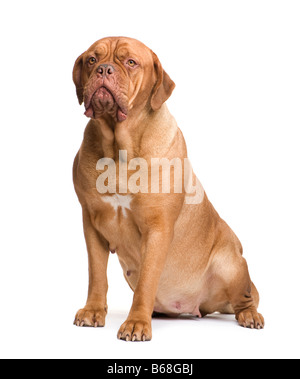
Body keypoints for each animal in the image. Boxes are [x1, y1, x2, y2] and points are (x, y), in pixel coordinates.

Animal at [71, 37, 264, 342]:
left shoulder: (157, 229)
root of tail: (199, 306)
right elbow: (97, 275)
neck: (118, 147)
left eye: (130, 62)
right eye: (92, 59)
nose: (104, 70)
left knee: (245, 298)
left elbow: (147, 281)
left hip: (231, 262)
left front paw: (136, 323)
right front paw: (93, 311)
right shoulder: (92, 223)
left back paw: (250, 315)